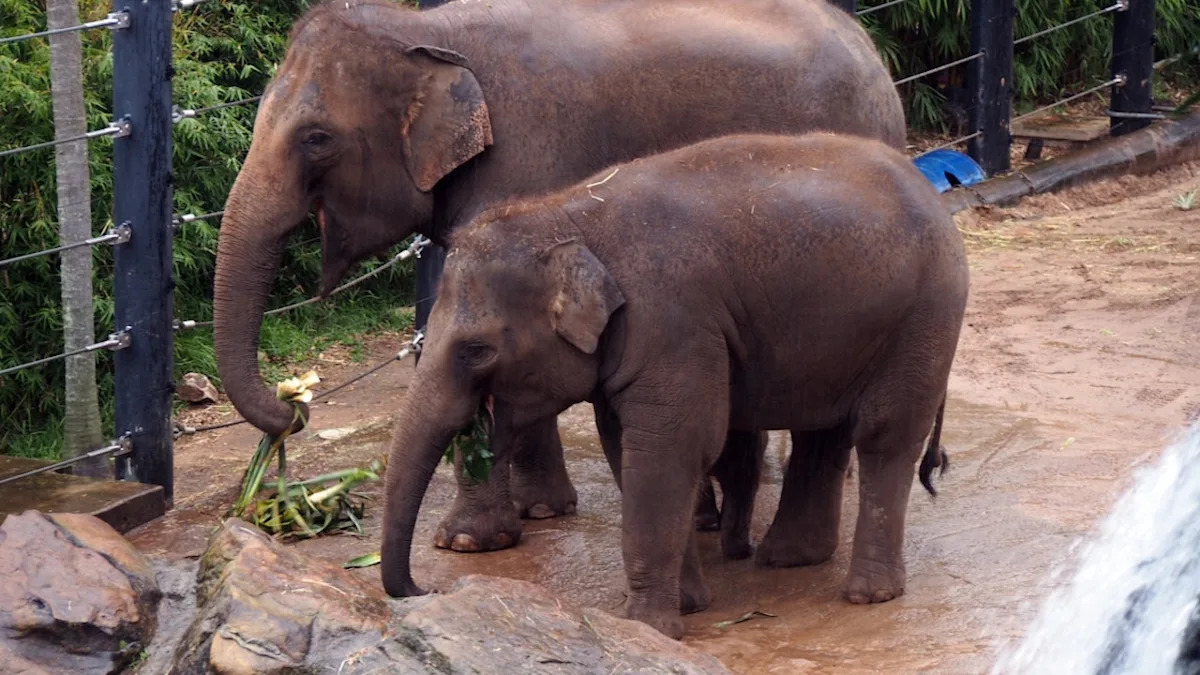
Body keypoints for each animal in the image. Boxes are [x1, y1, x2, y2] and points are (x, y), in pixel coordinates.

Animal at [210, 0, 906, 556]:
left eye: (316, 138)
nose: (293, 407)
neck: (425, 29)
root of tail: (869, 47)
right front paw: (540, 510)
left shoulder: (529, 157)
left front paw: (470, 543)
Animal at [379, 131, 970, 639]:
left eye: (475, 351)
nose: (422, 588)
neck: (569, 213)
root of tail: (925, 183)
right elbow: (629, 449)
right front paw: (686, 607)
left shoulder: (674, 321)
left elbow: (670, 450)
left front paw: (647, 627)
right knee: (823, 432)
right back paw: (788, 558)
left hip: (925, 317)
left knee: (884, 436)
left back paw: (868, 594)